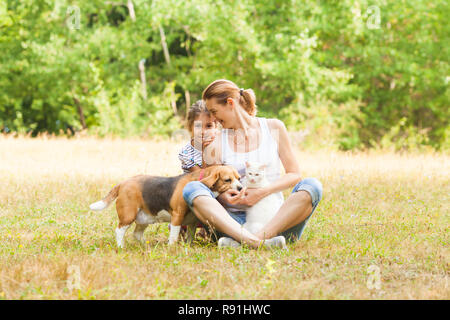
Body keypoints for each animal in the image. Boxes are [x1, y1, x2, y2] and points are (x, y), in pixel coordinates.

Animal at [88, 164, 243, 249]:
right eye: (227, 180)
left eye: (239, 178)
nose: (241, 188)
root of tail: (123, 183)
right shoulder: (177, 216)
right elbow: (174, 236)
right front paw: (172, 248)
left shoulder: (192, 223)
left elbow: (190, 237)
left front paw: (187, 247)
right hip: (128, 215)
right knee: (119, 231)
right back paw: (121, 246)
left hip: (144, 218)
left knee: (137, 234)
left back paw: (146, 246)